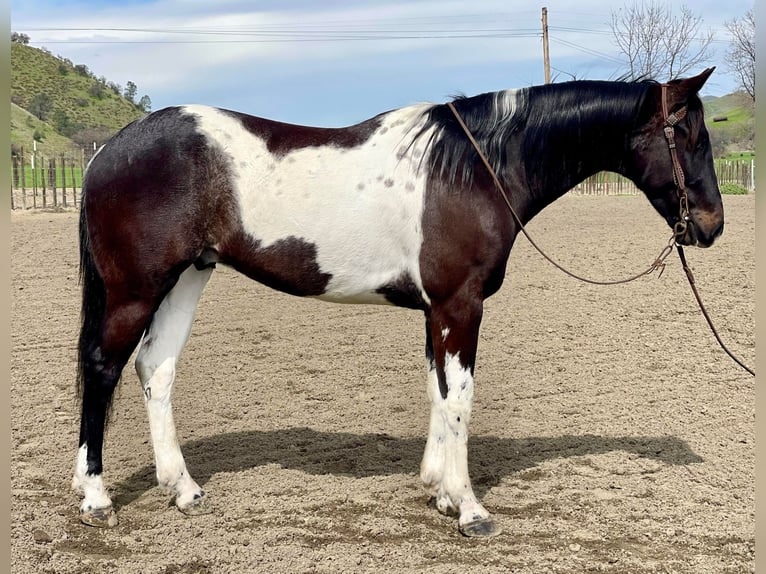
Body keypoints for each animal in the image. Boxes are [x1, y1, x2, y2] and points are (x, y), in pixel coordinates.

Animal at [72, 68, 728, 540]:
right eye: (688, 135)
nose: (711, 226)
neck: (473, 169)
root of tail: (106, 151)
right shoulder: (460, 306)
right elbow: (460, 397)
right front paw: (470, 510)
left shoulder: (435, 311)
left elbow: (438, 391)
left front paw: (439, 491)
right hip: (137, 290)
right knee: (103, 369)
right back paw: (97, 498)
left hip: (187, 278)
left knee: (155, 368)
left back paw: (181, 489)